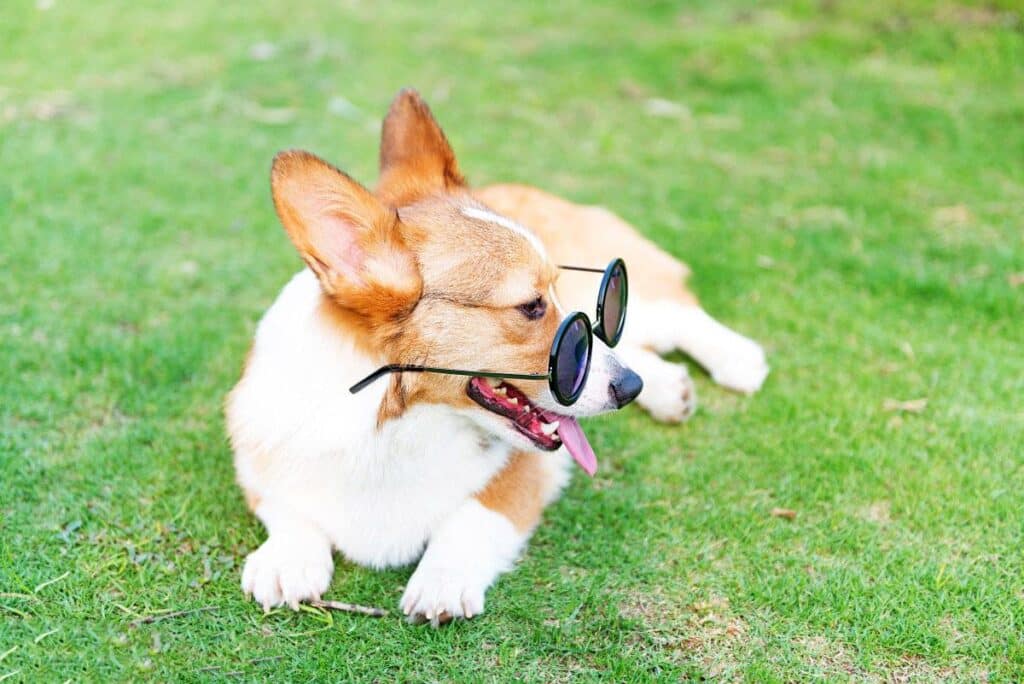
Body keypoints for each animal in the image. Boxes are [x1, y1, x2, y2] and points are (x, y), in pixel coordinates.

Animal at [226, 88, 770, 622]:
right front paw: (286, 560)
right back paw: (666, 387)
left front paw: (442, 581)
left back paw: (734, 361)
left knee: (676, 315)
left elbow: (474, 513)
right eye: (531, 307)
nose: (629, 390)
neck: (390, 420)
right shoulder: (259, 460)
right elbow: (286, 508)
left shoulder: (524, 473)